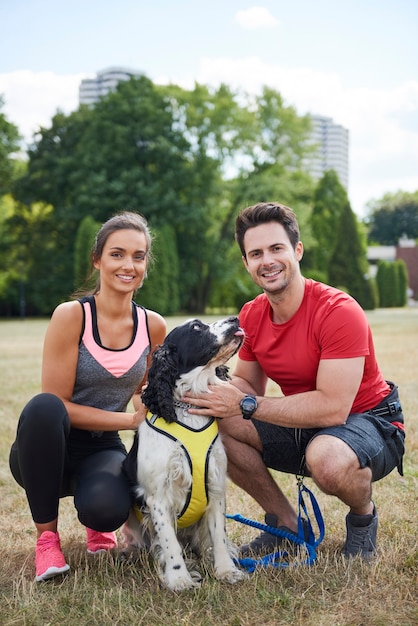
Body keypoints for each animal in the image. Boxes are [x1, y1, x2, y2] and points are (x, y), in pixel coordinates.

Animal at [121, 316, 245, 588]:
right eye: (197, 327)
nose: (235, 318)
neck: (186, 409)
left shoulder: (215, 485)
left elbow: (219, 536)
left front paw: (225, 571)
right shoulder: (158, 498)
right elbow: (169, 543)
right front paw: (179, 579)